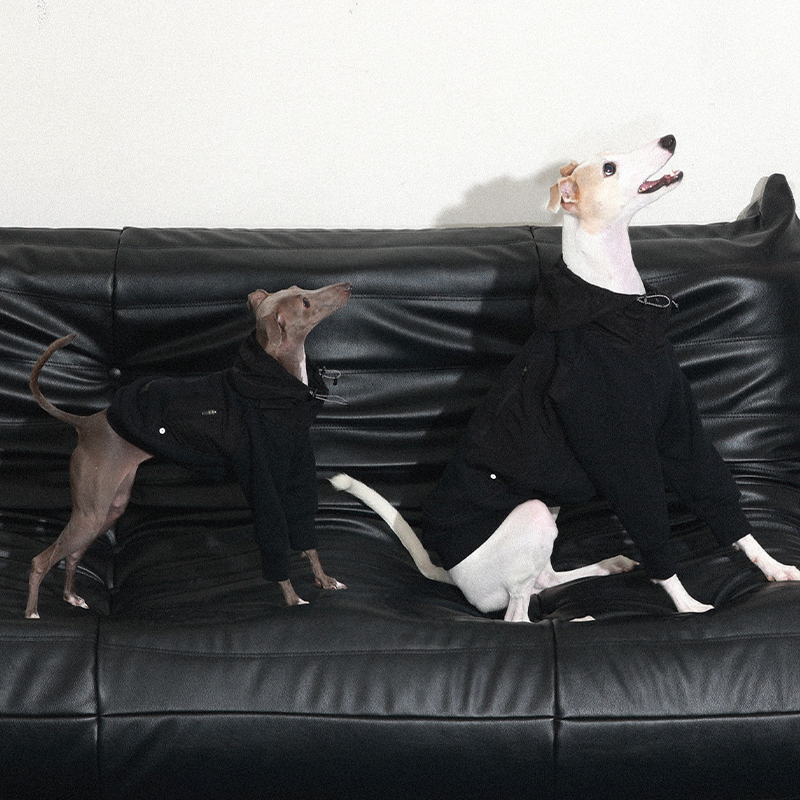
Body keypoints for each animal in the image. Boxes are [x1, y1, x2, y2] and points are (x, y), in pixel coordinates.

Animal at [26, 282, 352, 619]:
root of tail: (88, 423)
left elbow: (307, 537)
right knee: (41, 560)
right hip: (91, 512)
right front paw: (293, 599)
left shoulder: (297, 471)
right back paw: (32, 613)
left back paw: (71, 596)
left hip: (109, 508)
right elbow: (275, 541)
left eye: (300, 288)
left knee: (73, 555)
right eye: (305, 302)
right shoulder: (262, 483)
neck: (274, 389)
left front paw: (326, 580)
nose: (347, 286)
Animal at [331, 136, 800, 620]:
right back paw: (579, 614)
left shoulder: (678, 424)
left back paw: (607, 566)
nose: (668, 139)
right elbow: (653, 529)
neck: (618, 302)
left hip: (550, 511)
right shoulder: (622, 453)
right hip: (534, 513)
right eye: (610, 168)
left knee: (545, 578)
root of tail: (455, 576)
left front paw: (774, 566)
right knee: (516, 614)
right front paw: (688, 605)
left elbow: (716, 495)